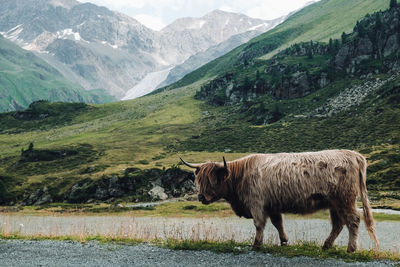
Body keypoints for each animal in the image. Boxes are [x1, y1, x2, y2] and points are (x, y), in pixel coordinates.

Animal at [180, 151, 380, 253]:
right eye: (199, 180)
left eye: (212, 180)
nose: (201, 197)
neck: (241, 177)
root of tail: (354, 155)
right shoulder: (272, 205)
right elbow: (278, 223)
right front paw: (284, 241)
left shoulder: (257, 204)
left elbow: (259, 225)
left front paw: (256, 245)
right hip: (334, 203)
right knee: (338, 224)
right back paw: (326, 245)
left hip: (345, 199)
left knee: (353, 220)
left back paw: (351, 249)